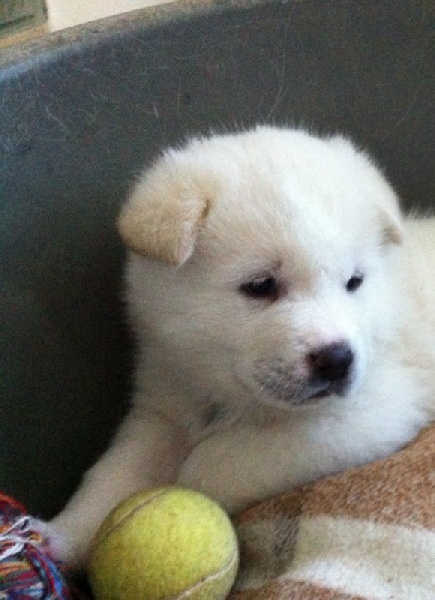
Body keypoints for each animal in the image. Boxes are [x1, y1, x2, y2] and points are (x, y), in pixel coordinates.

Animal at [42, 125, 435, 567]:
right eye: (261, 285)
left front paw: (187, 481)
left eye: (354, 282)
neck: (230, 397)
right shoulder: (162, 409)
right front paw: (63, 535)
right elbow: (118, 469)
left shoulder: (375, 407)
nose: (338, 360)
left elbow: (231, 458)